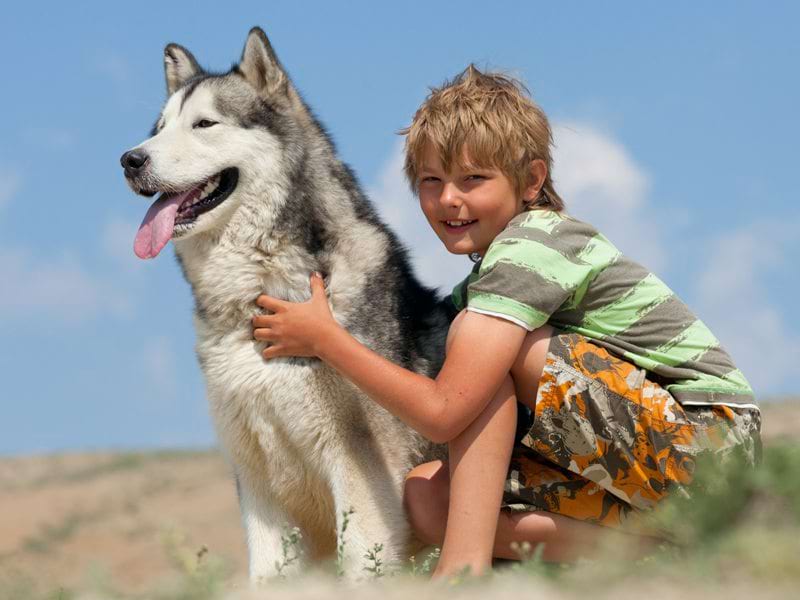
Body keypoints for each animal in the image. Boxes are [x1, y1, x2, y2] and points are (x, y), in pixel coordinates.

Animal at [122, 29, 454, 580]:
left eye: (205, 124)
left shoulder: (361, 470)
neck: (260, 296)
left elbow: (359, 562)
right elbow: (265, 573)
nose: (129, 160)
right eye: (159, 129)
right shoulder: (254, 476)